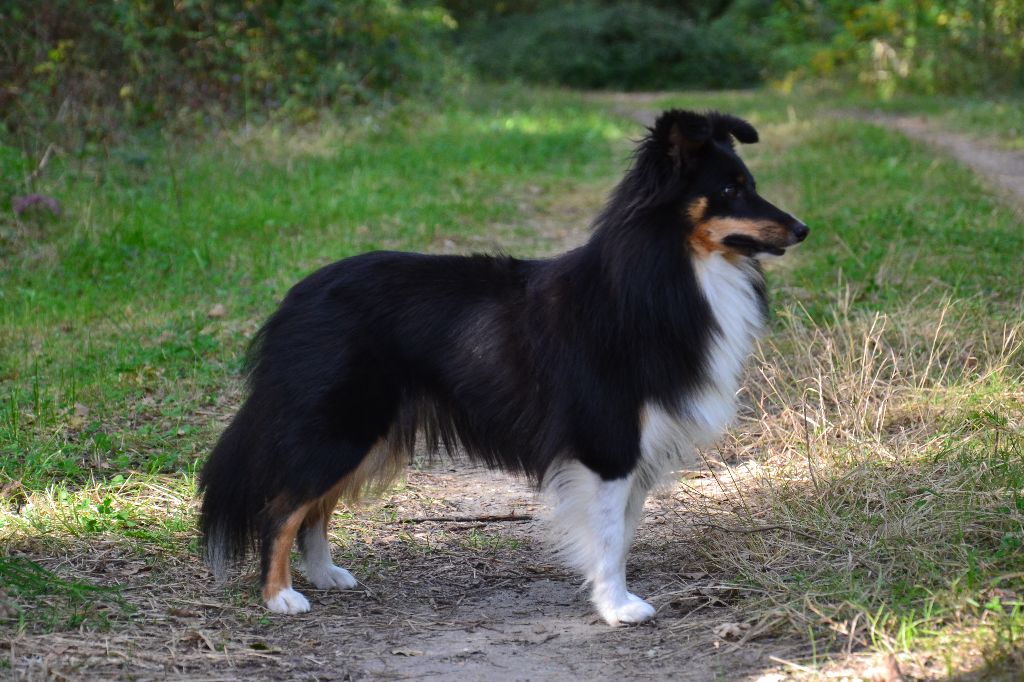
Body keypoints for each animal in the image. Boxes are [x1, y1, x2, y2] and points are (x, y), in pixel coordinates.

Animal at [197, 109, 806, 622]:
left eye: (750, 183)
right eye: (729, 189)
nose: (802, 229)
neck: (666, 271)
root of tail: (294, 300)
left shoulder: (635, 448)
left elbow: (621, 530)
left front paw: (608, 596)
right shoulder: (608, 442)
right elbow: (611, 537)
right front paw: (618, 608)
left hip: (364, 431)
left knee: (313, 509)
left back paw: (325, 575)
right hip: (341, 425)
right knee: (281, 507)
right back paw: (280, 597)